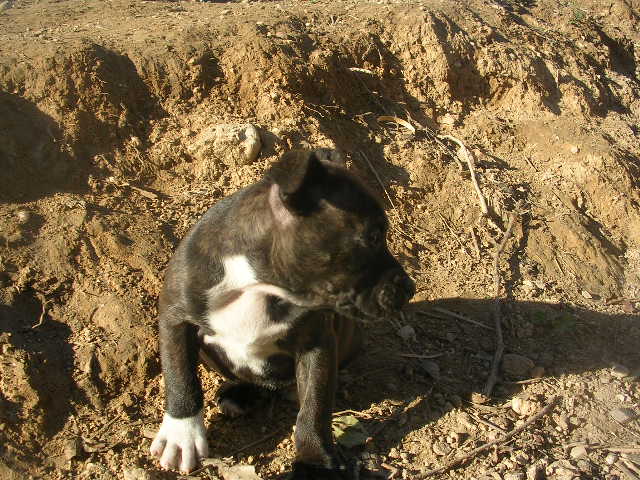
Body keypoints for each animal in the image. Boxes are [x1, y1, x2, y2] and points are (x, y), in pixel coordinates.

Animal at [150, 148, 415, 478]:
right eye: (374, 236)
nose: (409, 287)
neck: (257, 286)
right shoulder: (175, 318)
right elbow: (180, 376)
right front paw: (181, 435)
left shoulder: (317, 344)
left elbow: (314, 408)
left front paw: (314, 462)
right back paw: (240, 395)